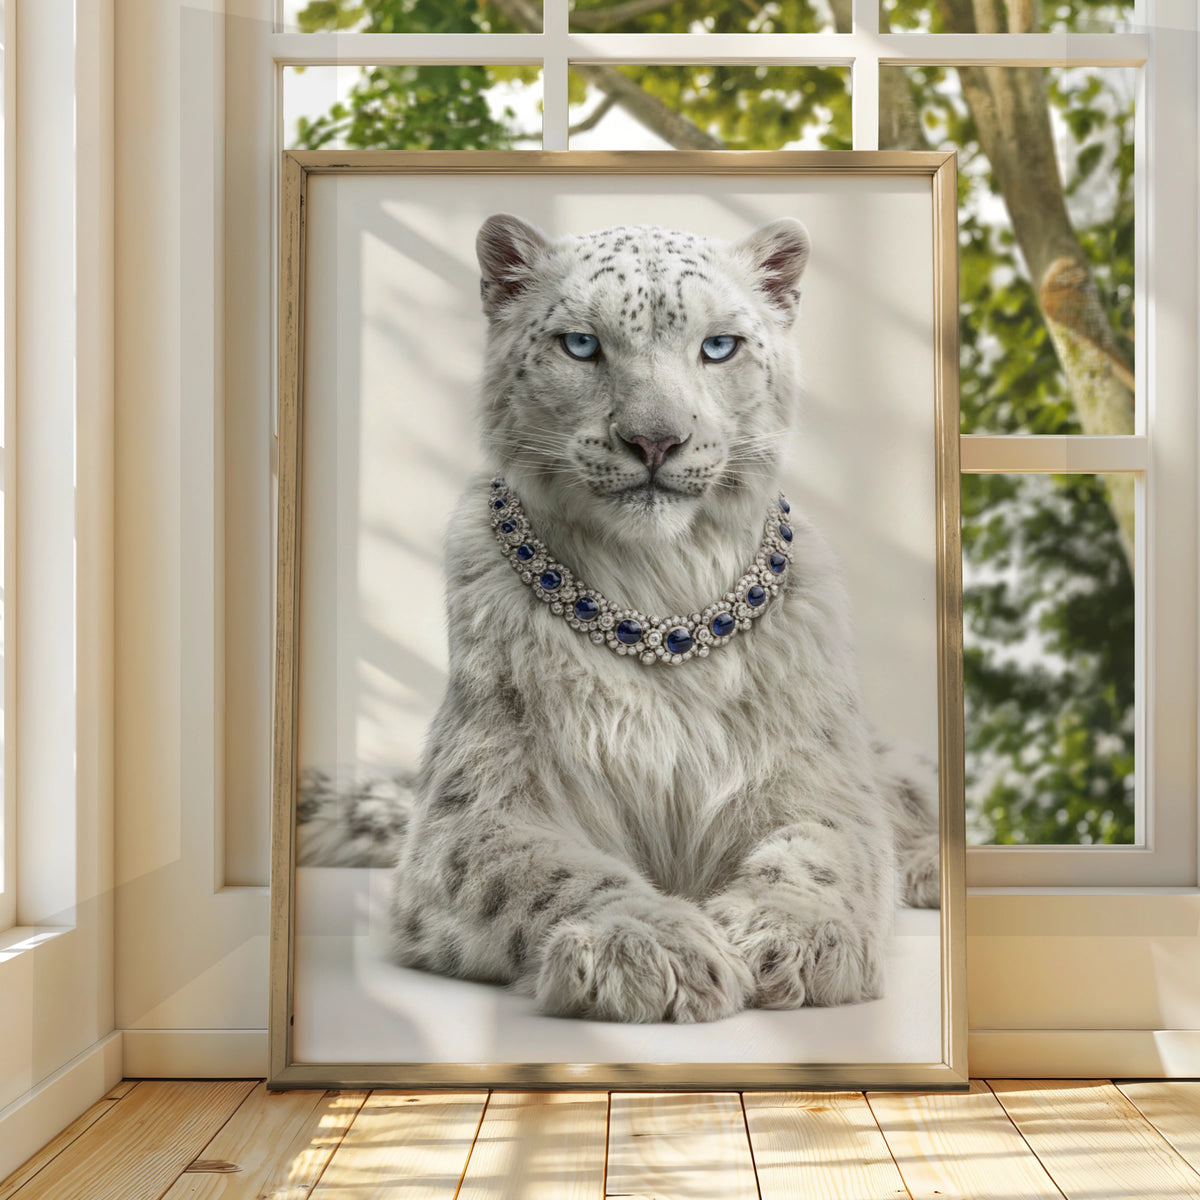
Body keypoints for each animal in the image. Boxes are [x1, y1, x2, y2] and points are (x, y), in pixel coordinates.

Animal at [298, 212, 941, 1024]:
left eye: (719, 345)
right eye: (581, 343)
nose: (654, 439)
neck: (658, 598)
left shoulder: (817, 777)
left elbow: (824, 851)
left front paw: (789, 937)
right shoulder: (479, 809)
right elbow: (549, 872)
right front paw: (648, 948)